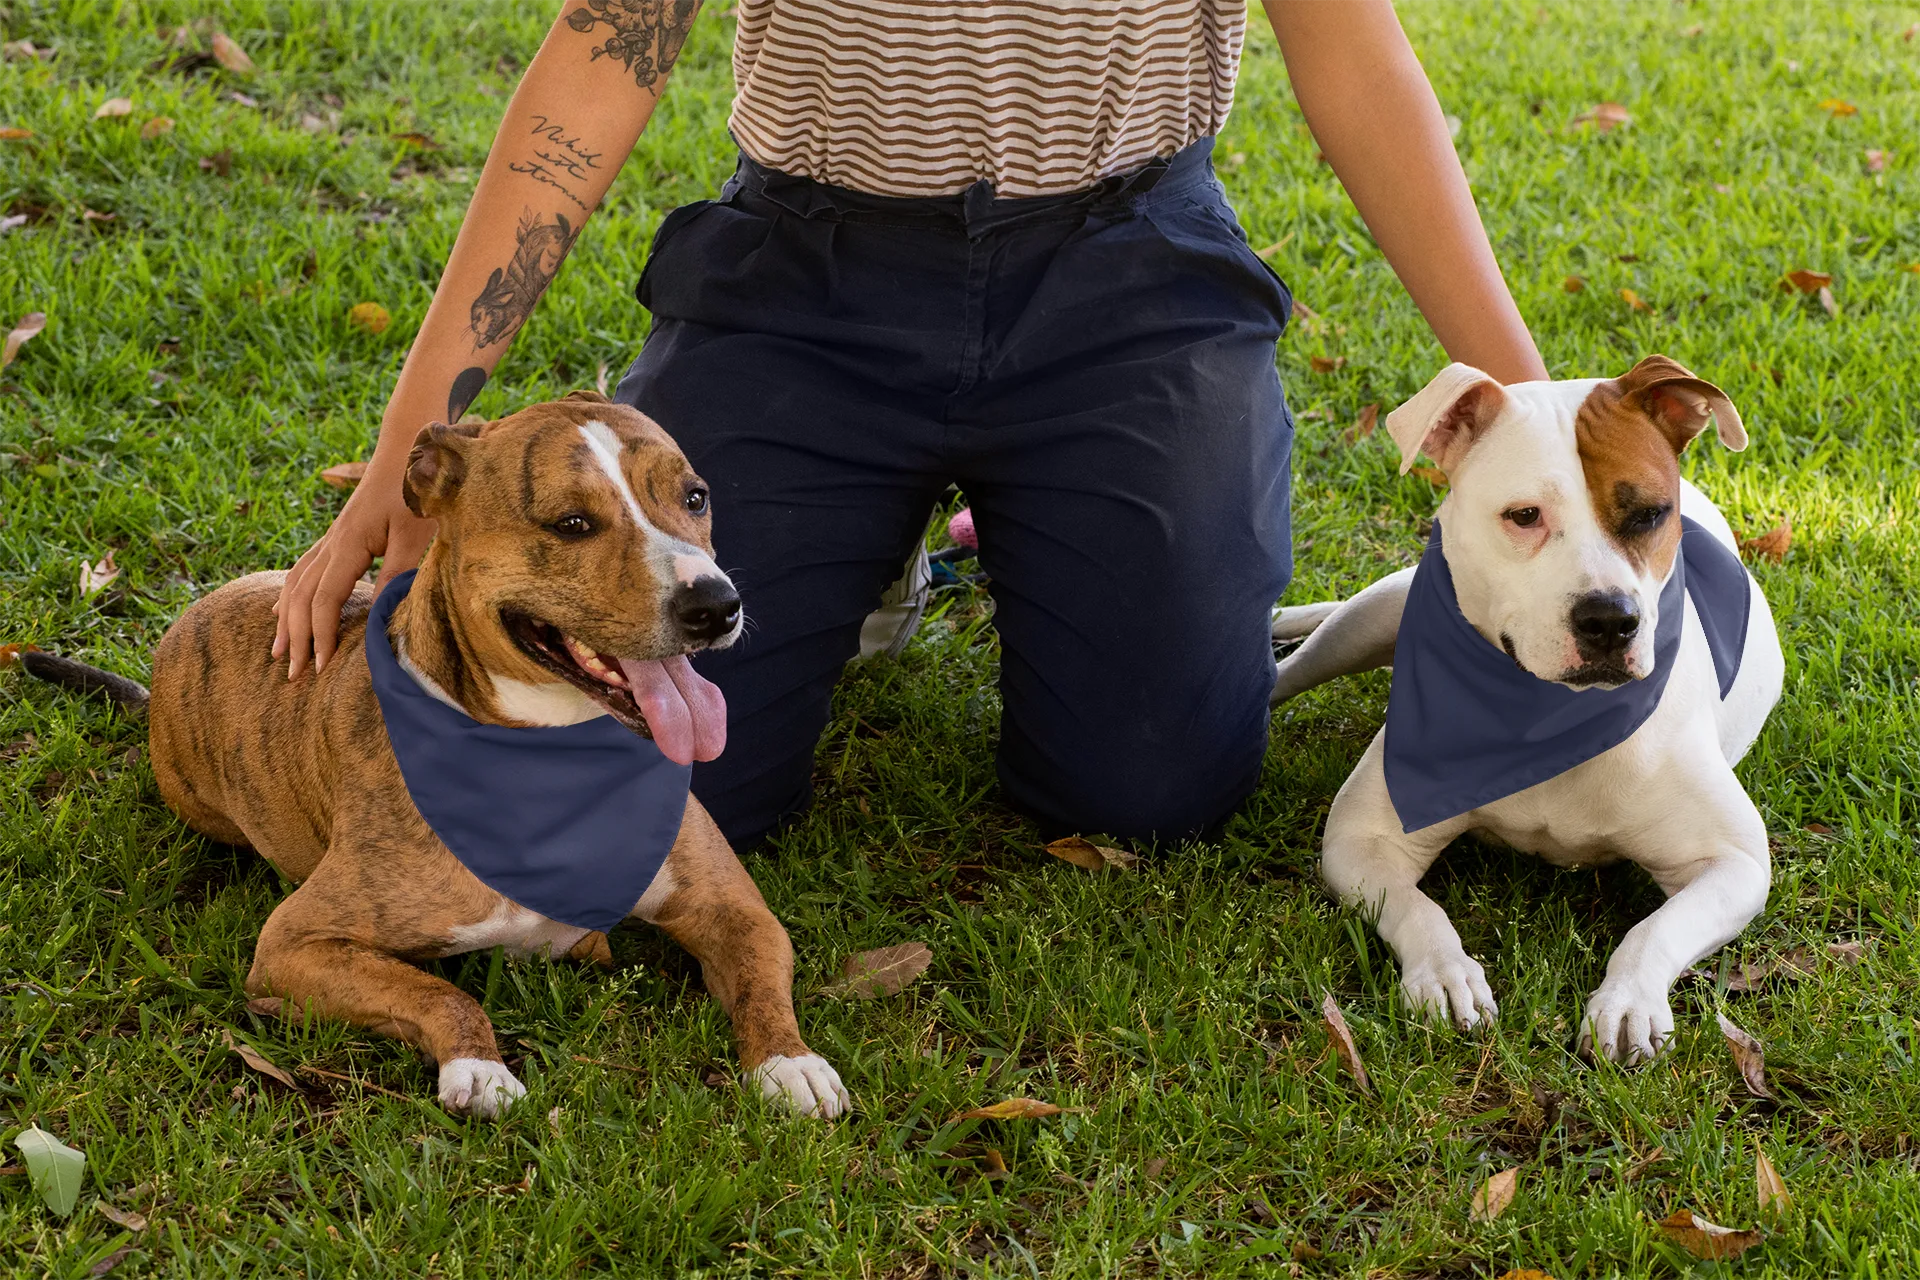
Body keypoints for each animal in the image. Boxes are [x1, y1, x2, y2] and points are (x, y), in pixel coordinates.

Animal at [1274, 355, 1781, 1066]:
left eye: (1650, 514)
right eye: (1524, 515)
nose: (1610, 620)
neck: (1548, 715)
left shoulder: (1736, 862)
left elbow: (1657, 929)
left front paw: (1629, 1001)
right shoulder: (1361, 840)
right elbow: (1416, 907)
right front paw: (1445, 973)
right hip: (1369, 618)